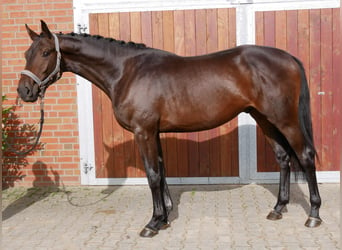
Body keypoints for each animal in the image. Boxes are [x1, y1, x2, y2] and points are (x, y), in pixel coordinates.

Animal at [17, 21, 322, 236]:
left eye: (45, 52)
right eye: (26, 53)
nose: (25, 91)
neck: (126, 71)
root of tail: (288, 58)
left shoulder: (143, 131)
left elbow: (152, 175)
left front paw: (152, 223)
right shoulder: (154, 132)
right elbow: (162, 172)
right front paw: (164, 218)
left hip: (285, 119)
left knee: (305, 156)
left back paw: (314, 215)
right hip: (264, 118)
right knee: (283, 158)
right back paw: (278, 209)